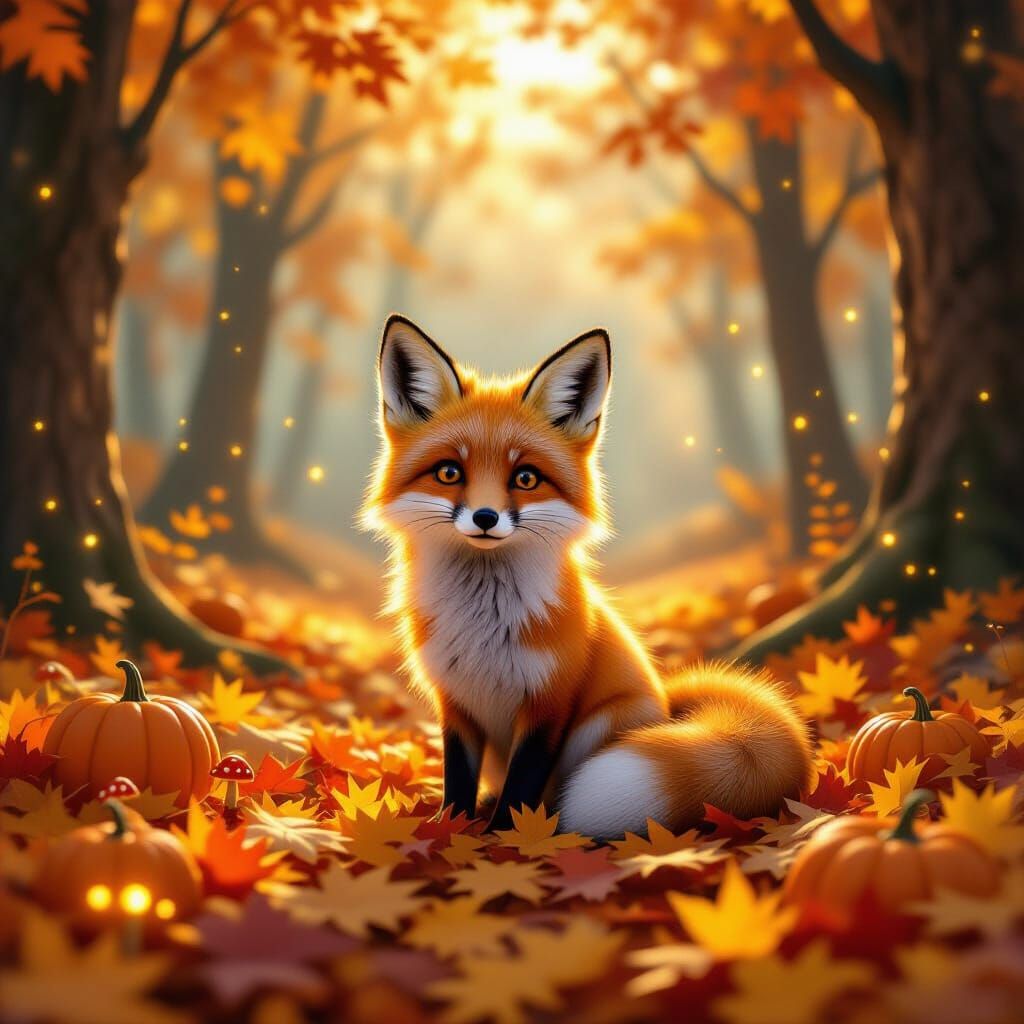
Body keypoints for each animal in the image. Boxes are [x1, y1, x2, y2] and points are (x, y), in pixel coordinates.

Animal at [362, 314, 813, 837]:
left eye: (526, 478)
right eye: (450, 472)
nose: (485, 518)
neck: (483, 625)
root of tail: (666, 703)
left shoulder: (549, 704)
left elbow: (522, 786)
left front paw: (506, 838)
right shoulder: (455, 703)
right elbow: (457, 781)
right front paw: (447, 830)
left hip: (599, 725)